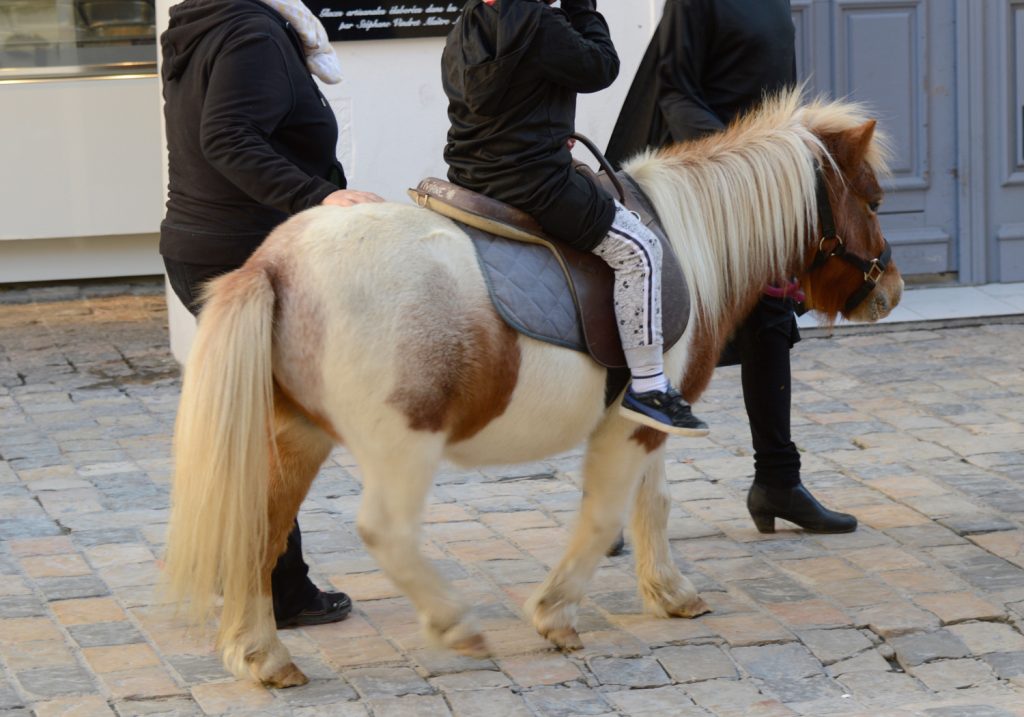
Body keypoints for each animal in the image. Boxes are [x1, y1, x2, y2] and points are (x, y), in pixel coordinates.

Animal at [161, 89, 905, 684]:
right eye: (872, 199)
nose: (891, 291)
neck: (684, 243)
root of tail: (275, 263)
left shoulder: (652, 420)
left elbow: (653, 503)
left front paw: (669, 592)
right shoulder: (630, 422)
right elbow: (606, 513)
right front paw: (555, 613)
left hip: (296, 436)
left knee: (257, 532)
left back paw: (262, 655)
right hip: (402, 443)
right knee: (383, 530)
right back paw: (453, 625)